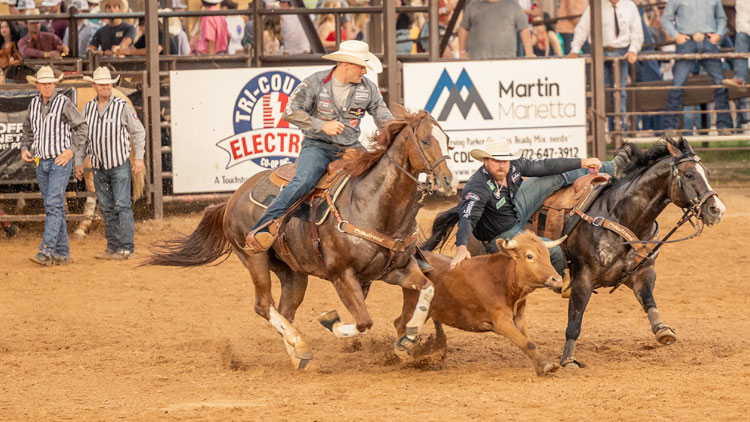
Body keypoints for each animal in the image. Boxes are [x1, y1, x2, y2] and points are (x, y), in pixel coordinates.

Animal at [143, 105, 456, 370]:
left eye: (447, 140)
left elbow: (426, 290)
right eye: (425, 141)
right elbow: (363, 321)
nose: (449, 180)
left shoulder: (396, 269)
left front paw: (408, 340)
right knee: (264, 306)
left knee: (285, 310)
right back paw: (300, 346)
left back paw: (298, 352)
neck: (374, 202)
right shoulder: (342, 274)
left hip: (294, 273)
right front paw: (331, 322)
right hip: (255, 259)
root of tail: (231, 199)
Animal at [420, 138, 724, 366]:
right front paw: (567, 359)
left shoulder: (643, 273)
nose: (716, 209)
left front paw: (663, 331)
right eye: (688, 175)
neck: (621, 215)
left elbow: (649, 301)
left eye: (707, 173)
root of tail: (464, 209)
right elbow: (574, 320)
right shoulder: (584, 279)